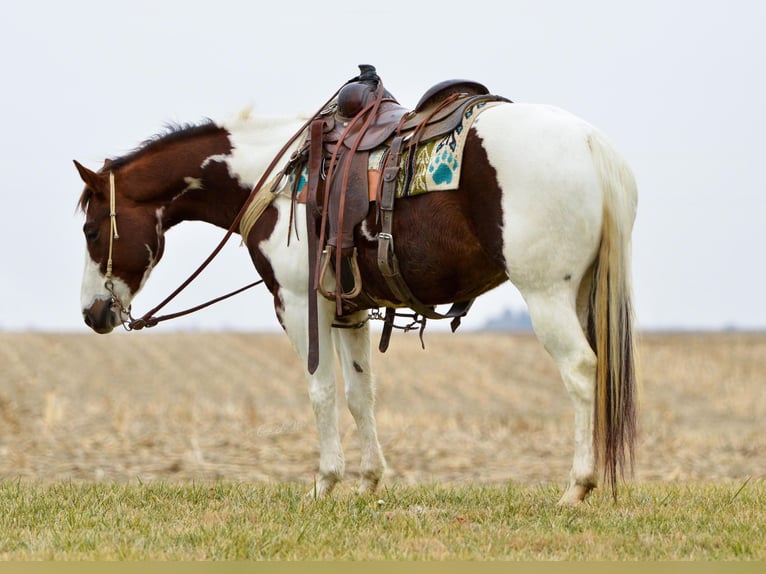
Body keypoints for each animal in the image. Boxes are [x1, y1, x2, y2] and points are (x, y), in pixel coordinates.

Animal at [75, 82, 640, 508]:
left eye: (90, 229)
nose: (92, 314)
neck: (276, 182)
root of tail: (591, 143)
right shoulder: (351, 310)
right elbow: (359, 394)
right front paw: (369, 480)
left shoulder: (300, 305)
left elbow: (321, 390)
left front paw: (325, 482)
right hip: (582, 293)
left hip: (546, 294)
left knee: (581, 371)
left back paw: (577, 487)